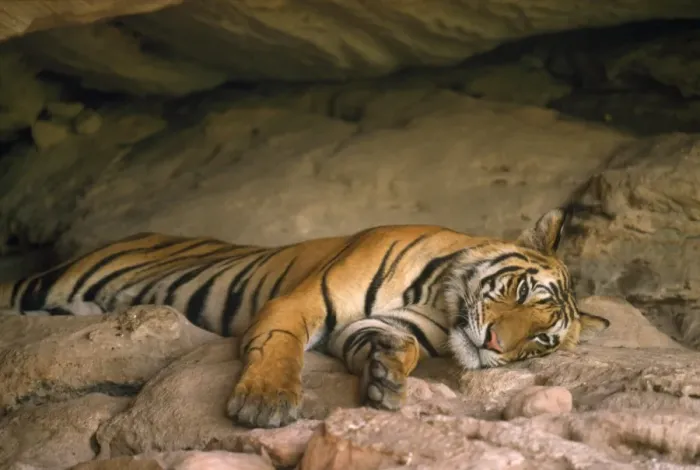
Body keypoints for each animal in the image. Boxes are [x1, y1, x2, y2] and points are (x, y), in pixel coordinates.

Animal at [0, 207, 609, 428]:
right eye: (521, 289)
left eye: (542, 340)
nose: (495, 346)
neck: (437, 297)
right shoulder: (302, 302)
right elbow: (279, 344)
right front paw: (265, 403)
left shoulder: (379, 327)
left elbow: (394, 344)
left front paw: (386, 378)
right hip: (53, 280)